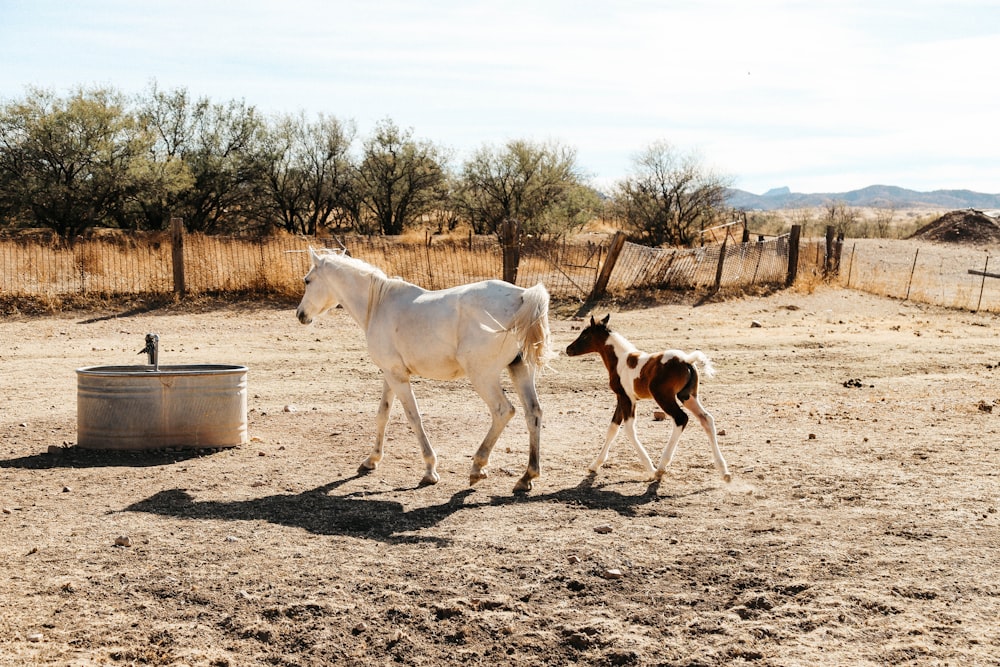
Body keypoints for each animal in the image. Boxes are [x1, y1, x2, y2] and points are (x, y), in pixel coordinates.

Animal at [296, 248, 556, 494]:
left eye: (307, 281)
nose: (300, 315)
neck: (378, 304)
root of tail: (522, 296)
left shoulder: (398, 377)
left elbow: (414, 417)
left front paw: (430, 470)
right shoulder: (391, 375)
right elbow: (383, 414)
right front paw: (372, 460)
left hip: (483, 376)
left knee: (503, 411)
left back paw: (478, 467)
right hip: (520, 370)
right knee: (533, 413)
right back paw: (527, 477)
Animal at [568, 316, 732, 482]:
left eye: (585, 335)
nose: (568, 349)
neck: (620, 360)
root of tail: (687, 360)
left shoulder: (626, 398)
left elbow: (628, 429)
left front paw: (651, 469)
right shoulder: (623, 398)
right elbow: (612, 428)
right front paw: (595, 465)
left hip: (663, 397)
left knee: (681, 418)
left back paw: (661, 468)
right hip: (687, 396)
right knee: (706, 419)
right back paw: (724, 471)